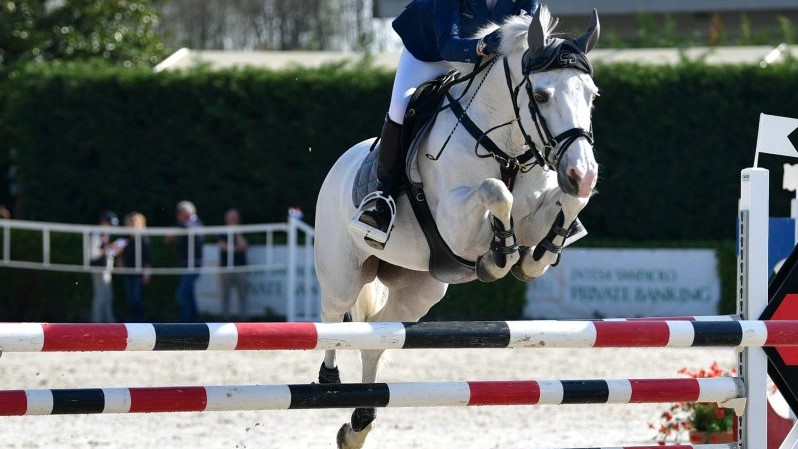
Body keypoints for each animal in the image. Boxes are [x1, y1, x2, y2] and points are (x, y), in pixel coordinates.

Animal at [313, 6, 600, 448]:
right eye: (541, 96)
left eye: (592, 96)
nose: (582, 173)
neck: (507, 146)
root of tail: (340, 165)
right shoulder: (455, 225)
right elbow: (496, 190)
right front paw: (500, 257)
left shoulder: (539, 211)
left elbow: (567, 204)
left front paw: (534, 258)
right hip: (343, 273)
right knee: (333, 317)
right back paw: (330, 382)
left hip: (418, 291)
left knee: (377, 337)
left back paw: (359, 423)